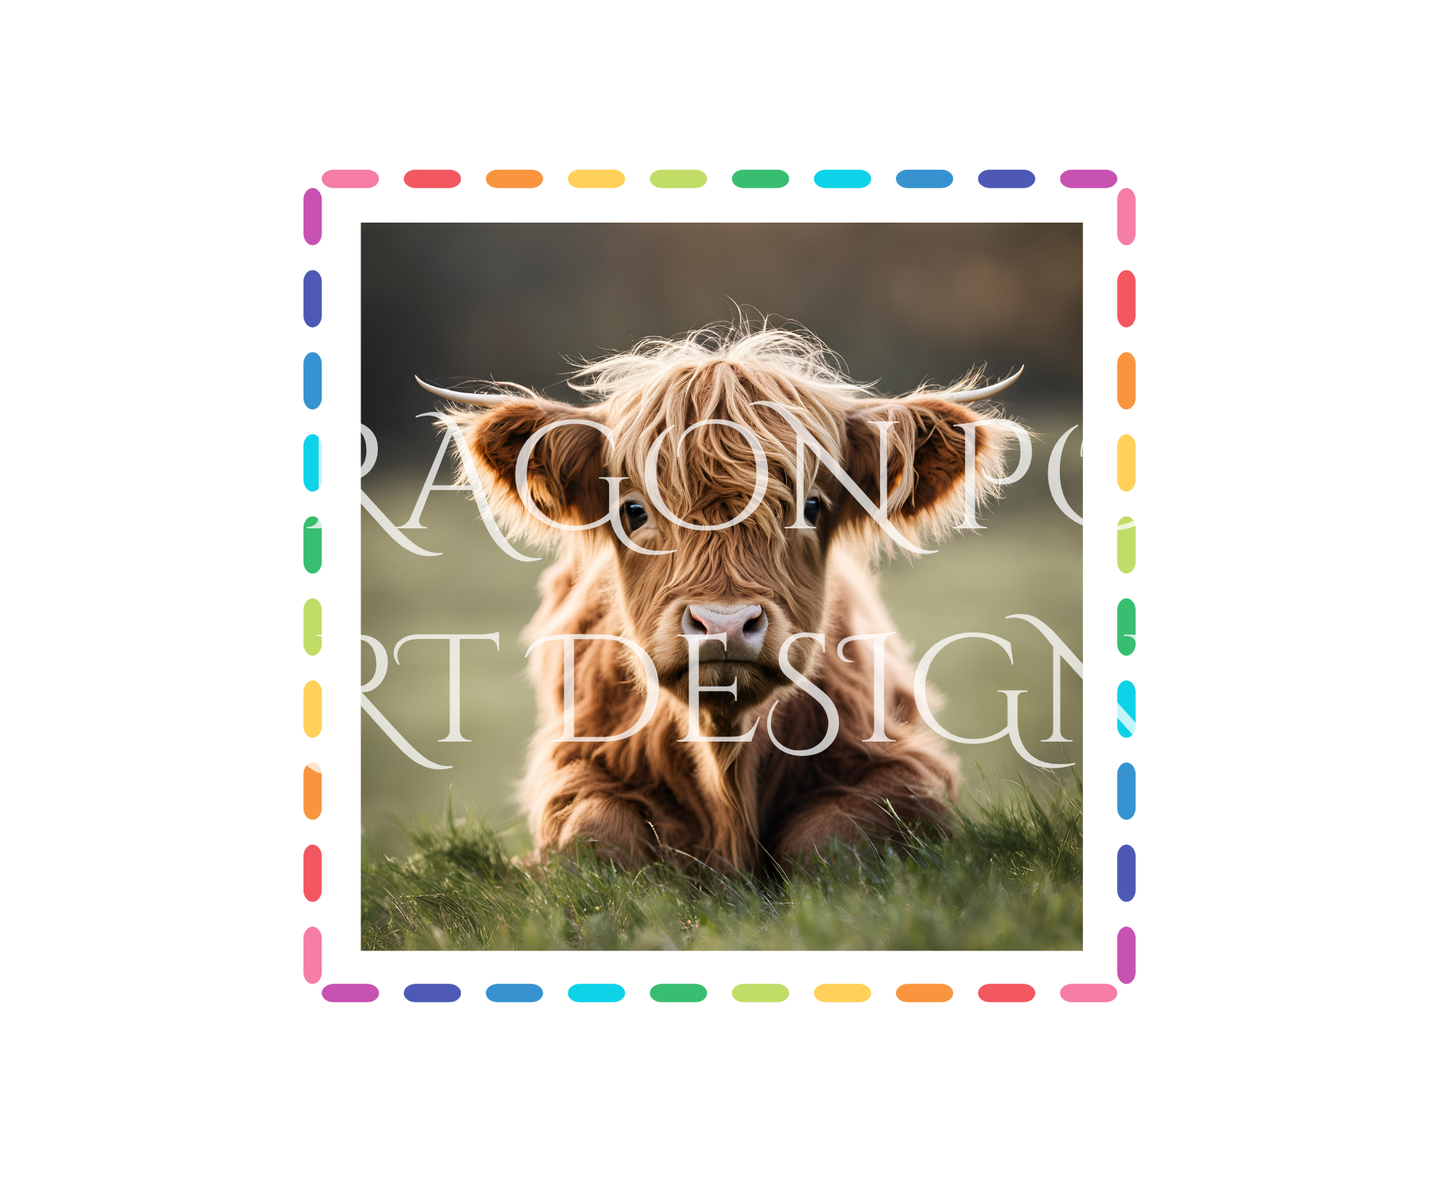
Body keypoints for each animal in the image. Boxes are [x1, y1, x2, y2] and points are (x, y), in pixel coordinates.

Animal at [420, 325, 1022, 874]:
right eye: (634, 511)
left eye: (810, 506)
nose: (724, 624)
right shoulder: (574, 763)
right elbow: (595, 836)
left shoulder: (903, 768)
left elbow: (830, 842)